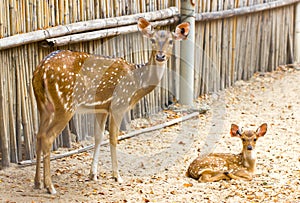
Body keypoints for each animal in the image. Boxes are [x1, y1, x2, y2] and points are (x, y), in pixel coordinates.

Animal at [31, 17, 190, 193]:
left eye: (171, 41)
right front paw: (117, 176)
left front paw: (93, 174)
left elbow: (98, 136)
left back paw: (37, 182)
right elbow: (113, 138)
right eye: (153, 40)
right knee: (48, 137)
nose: (160, 56)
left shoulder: (101, 108)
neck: (137, 83)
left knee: (39, 135)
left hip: (43, 105)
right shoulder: (118, 105)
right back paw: (50, 186)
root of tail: (41, 69)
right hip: (65, 104)